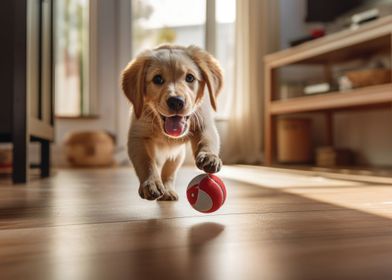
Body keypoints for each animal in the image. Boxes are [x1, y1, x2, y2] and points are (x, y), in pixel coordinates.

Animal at [119, 44, 224, 200]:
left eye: (190, 77)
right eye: (157, 79)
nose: (176, 102)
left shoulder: (203, 123)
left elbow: (207, 140)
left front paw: (209, 157)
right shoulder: (138, 136)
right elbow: (146, 162)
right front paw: (150, 183)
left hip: (177, 156)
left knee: (169, 171)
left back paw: (168, 190)